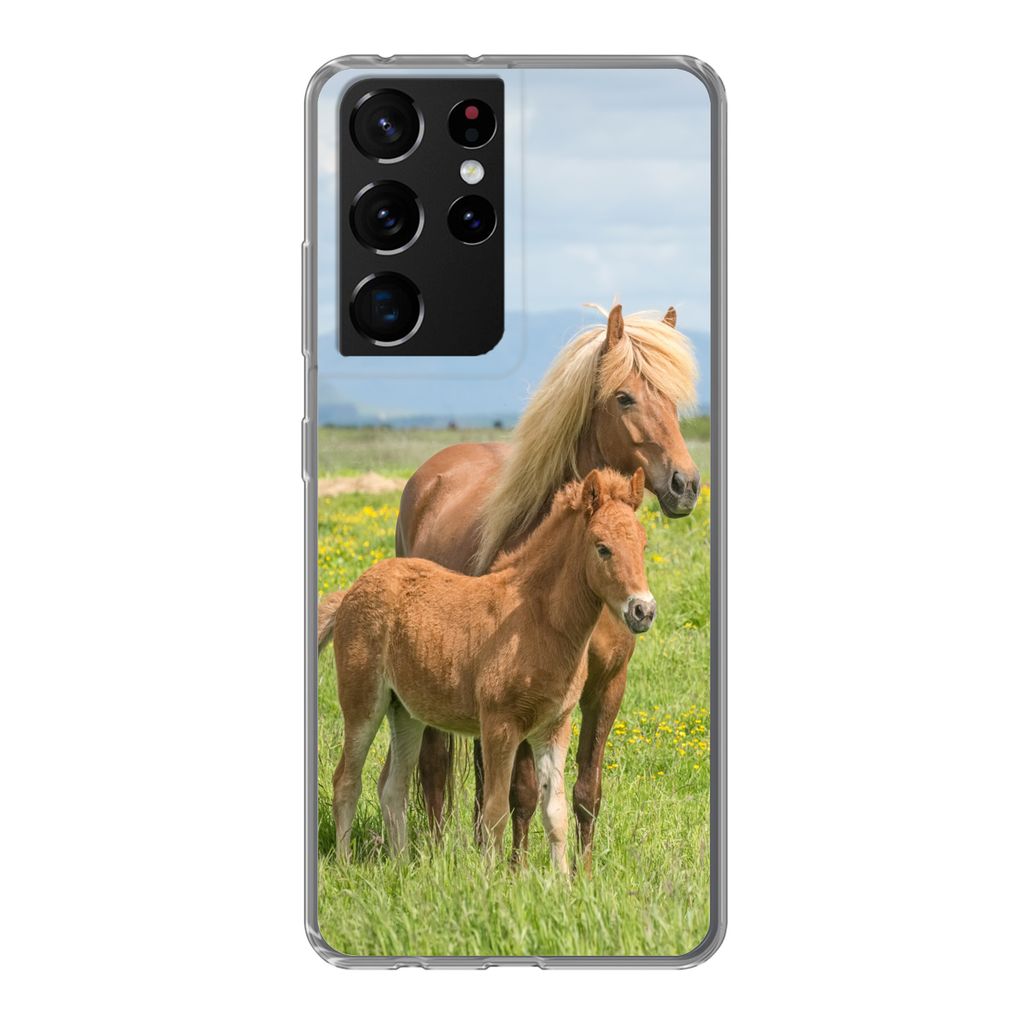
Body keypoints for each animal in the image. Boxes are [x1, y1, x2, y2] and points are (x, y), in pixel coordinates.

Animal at [330, 468, 653, 873]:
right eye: (602, 547)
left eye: (643, 545)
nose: (643, 610)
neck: (536, 619)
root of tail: (353, 589)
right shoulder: (500, 725)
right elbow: (495, 810)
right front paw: (492, 880)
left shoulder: (553, 726)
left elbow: (555, 812)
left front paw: (563, 880)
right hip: (363, 703)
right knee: (346, 780)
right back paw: (344, 865)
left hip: (405, 711)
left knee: (392, 788)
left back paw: (402, 867)